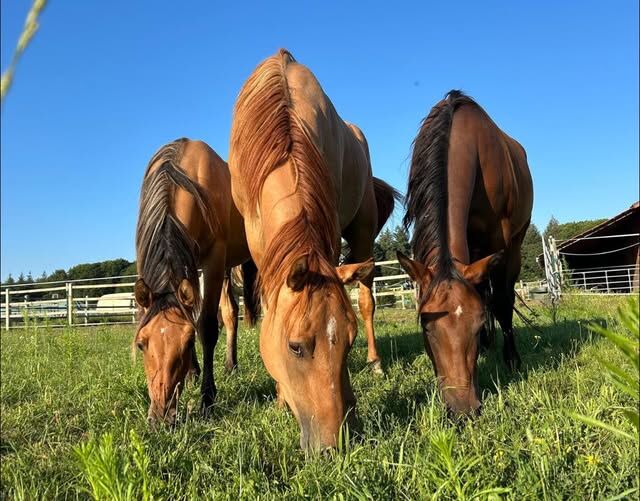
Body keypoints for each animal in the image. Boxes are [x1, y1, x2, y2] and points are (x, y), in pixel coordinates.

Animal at [132, 139, 258, 424]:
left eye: (189, 342)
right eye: (141, 343)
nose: (161, 417)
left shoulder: (214, 259)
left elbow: (207, 327)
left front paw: (207, 398)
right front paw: (192, 373)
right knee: (231, 313)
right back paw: (229, 365)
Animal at [230, 49, 400, 450]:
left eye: (349, 342)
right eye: (295, 346)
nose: (333, 444)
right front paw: (279, 398)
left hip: (362, 233)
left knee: (367, 299)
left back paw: (376, 363)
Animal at [398, 90, 532, 414]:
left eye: (476, 323)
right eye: (426, 326)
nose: (463, 410)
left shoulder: (502, 243)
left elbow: (502, 302)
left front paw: (511, 359)